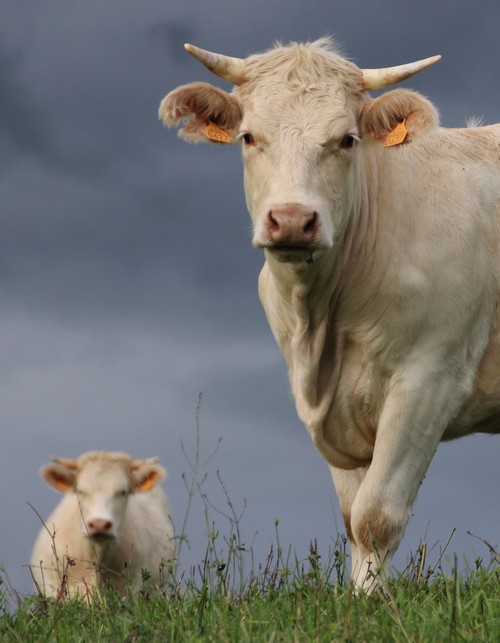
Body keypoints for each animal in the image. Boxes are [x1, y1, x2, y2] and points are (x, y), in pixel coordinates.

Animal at [159, 39, 500, 592]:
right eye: (249, 136)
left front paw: (371, 599)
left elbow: (375, 515)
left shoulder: (429, 378)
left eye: (346, 139)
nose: (293, 220)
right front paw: (358, 594)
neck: (325, 327)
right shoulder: (328, 405)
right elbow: (351, 517)